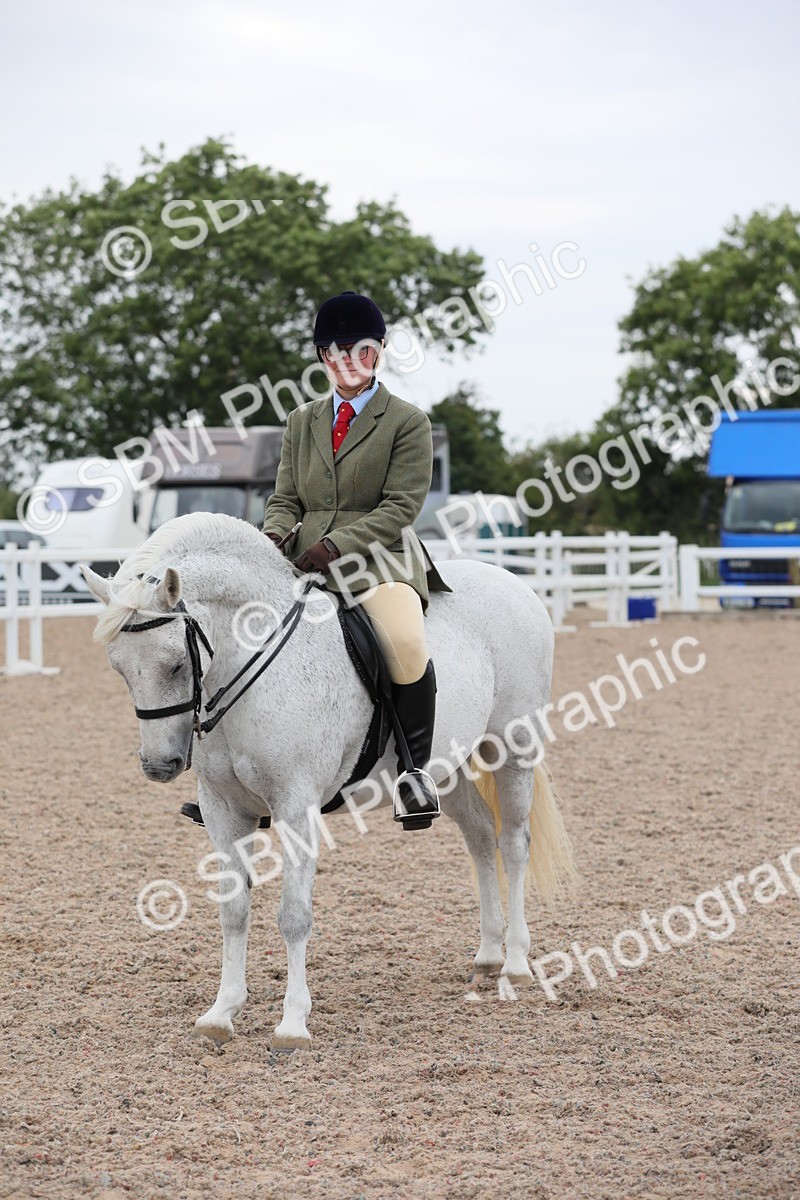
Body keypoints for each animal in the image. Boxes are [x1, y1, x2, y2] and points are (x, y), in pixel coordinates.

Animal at [81, 512, 576, 1050]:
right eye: (119, 668)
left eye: (175, 664)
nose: (160, 765)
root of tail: (515, 583)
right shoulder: (222, 810)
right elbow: (234, 909)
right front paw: (221, 1013)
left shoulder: (296, 807)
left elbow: (294, 916)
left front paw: (292, 1023)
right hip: (452, 765)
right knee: (482, 838)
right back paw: (487, 956)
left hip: (512, 747)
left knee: (514, 844)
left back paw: (515, 963)